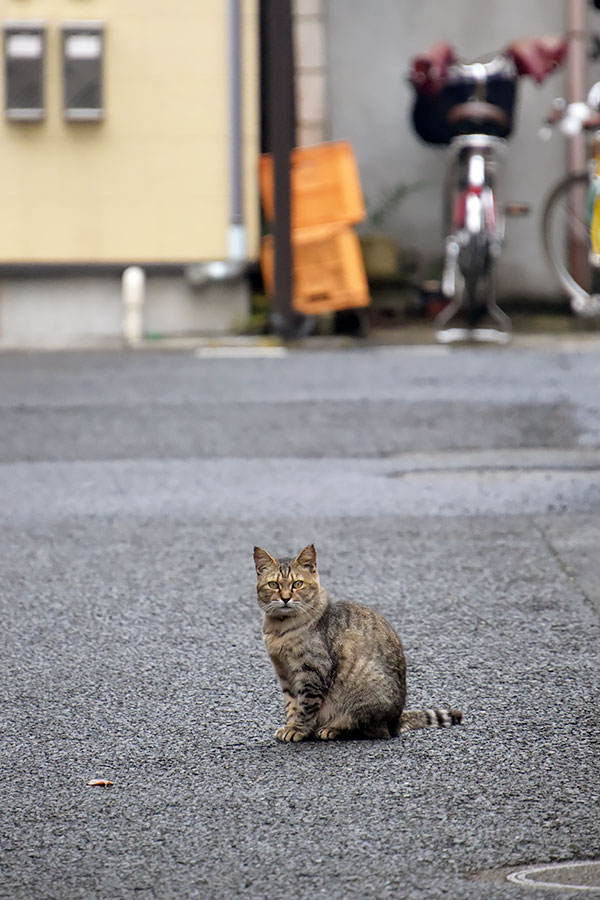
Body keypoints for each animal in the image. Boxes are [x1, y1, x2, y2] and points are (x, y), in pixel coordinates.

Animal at [251, 544, 462, 740]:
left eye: (297, 584)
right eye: (273, 585)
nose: (285, 598)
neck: (280, 628)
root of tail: (396, 720)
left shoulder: (312, 670)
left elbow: (305, 705)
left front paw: (298, 730)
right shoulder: (284, 672)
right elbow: (292, 703)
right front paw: (290, 725)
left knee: (371, 730)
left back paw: (332, 729)